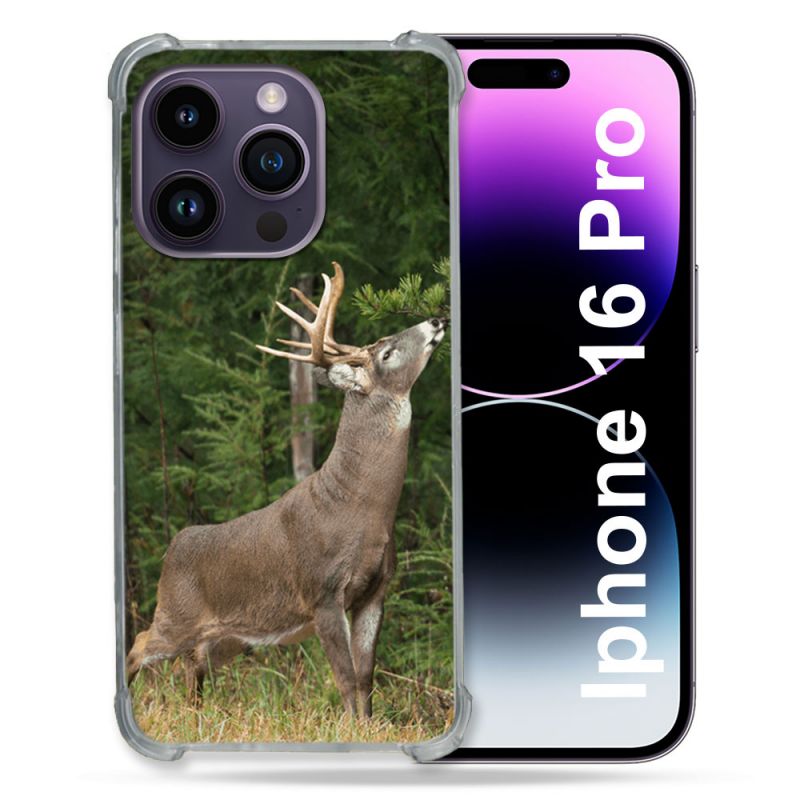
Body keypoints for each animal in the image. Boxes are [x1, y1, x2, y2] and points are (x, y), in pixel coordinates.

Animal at [126, 262, 447, 718]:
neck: (362, 508)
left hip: (228, 636)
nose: (436, 320)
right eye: (386, 352)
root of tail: (173, 547)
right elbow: (345, 677)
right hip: (176, 612)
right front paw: (351, 727)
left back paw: (197, 714)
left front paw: (369, 725)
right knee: (140, 644)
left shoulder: (376, 590)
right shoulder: (323, 592)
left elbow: (366, 677)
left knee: (192, 664)